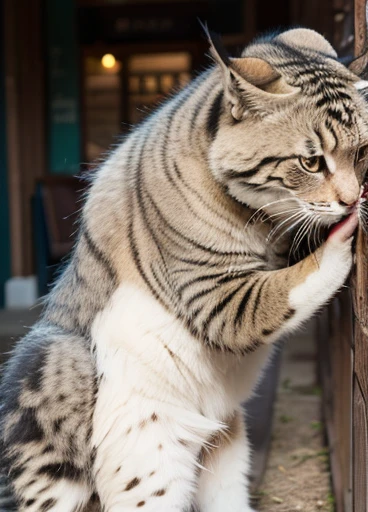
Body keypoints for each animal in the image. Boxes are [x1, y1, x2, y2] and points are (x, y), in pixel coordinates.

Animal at [2, 27, 368, 512]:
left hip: (224, 459)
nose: (350, 198)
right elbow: (297, 280)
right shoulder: (219, 300)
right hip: (65, 370)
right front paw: (344, 231)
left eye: (362, 152)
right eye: (310, 162)